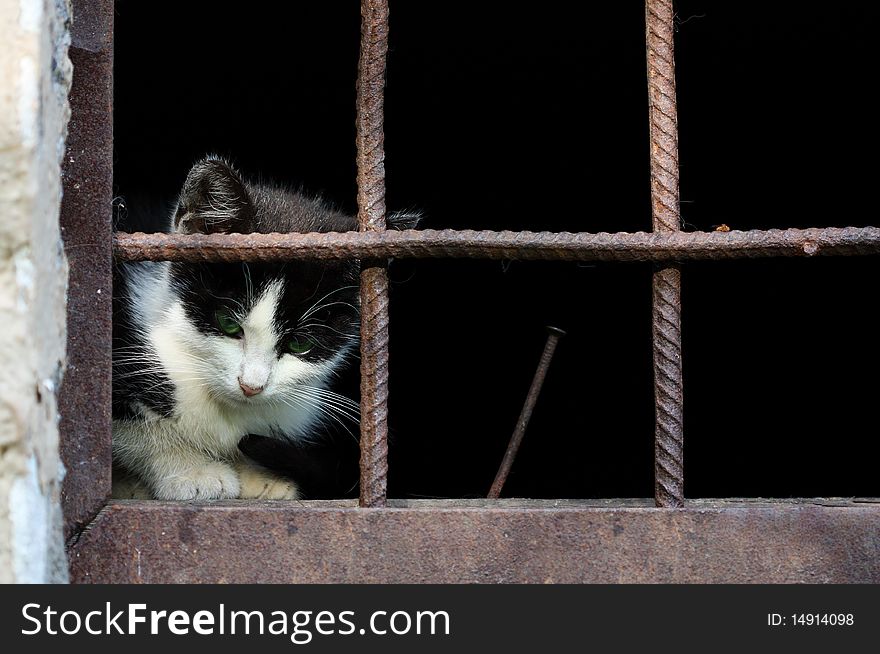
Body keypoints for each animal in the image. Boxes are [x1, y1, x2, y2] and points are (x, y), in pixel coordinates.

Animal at [112, 156, 360, 500]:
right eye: (228, 323)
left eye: (300, 344)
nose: (251, 386)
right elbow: (129, 424)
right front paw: (191, 470)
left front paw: (258, 476)